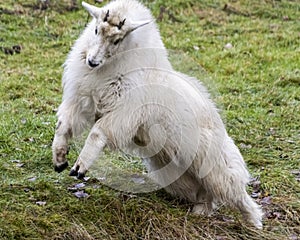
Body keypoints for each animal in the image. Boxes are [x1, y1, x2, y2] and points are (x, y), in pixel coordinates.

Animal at [52, 0, 262, 229]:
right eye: (96, 30)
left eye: (117, 40)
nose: (92, 62)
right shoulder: (81, 100)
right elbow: (63, 126)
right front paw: (59, 159)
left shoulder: (123, 113)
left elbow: (97, 133)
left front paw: (79, 167)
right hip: (177, 172)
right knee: (205, 193)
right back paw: (200, 210)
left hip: (213, 163)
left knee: (234, 189)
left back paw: (254, 221)